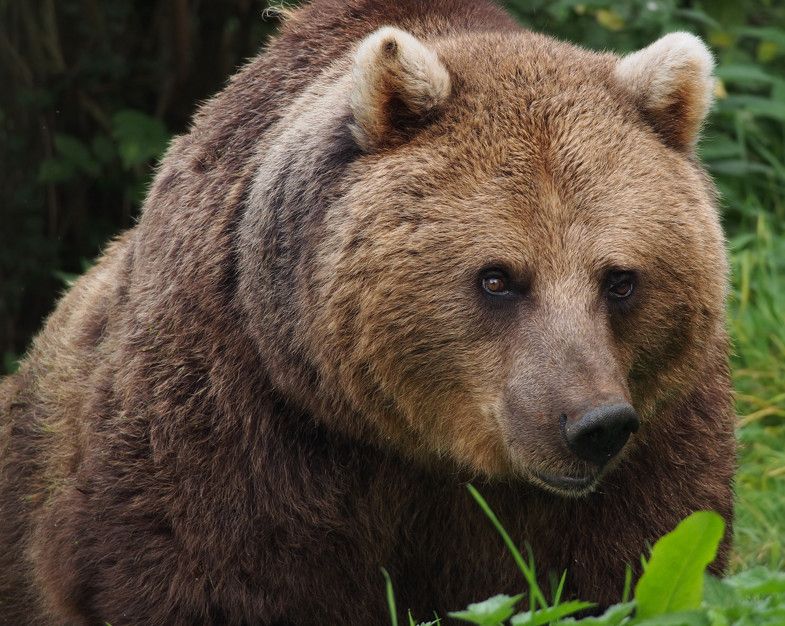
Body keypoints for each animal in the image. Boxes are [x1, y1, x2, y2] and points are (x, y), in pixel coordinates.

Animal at [0, 1, 736, 624]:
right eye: (497, 277)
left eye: (620, 279)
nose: (592, 425)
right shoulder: (236, 418)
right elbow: (203, 575)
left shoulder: (658, 432)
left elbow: (630, 564)